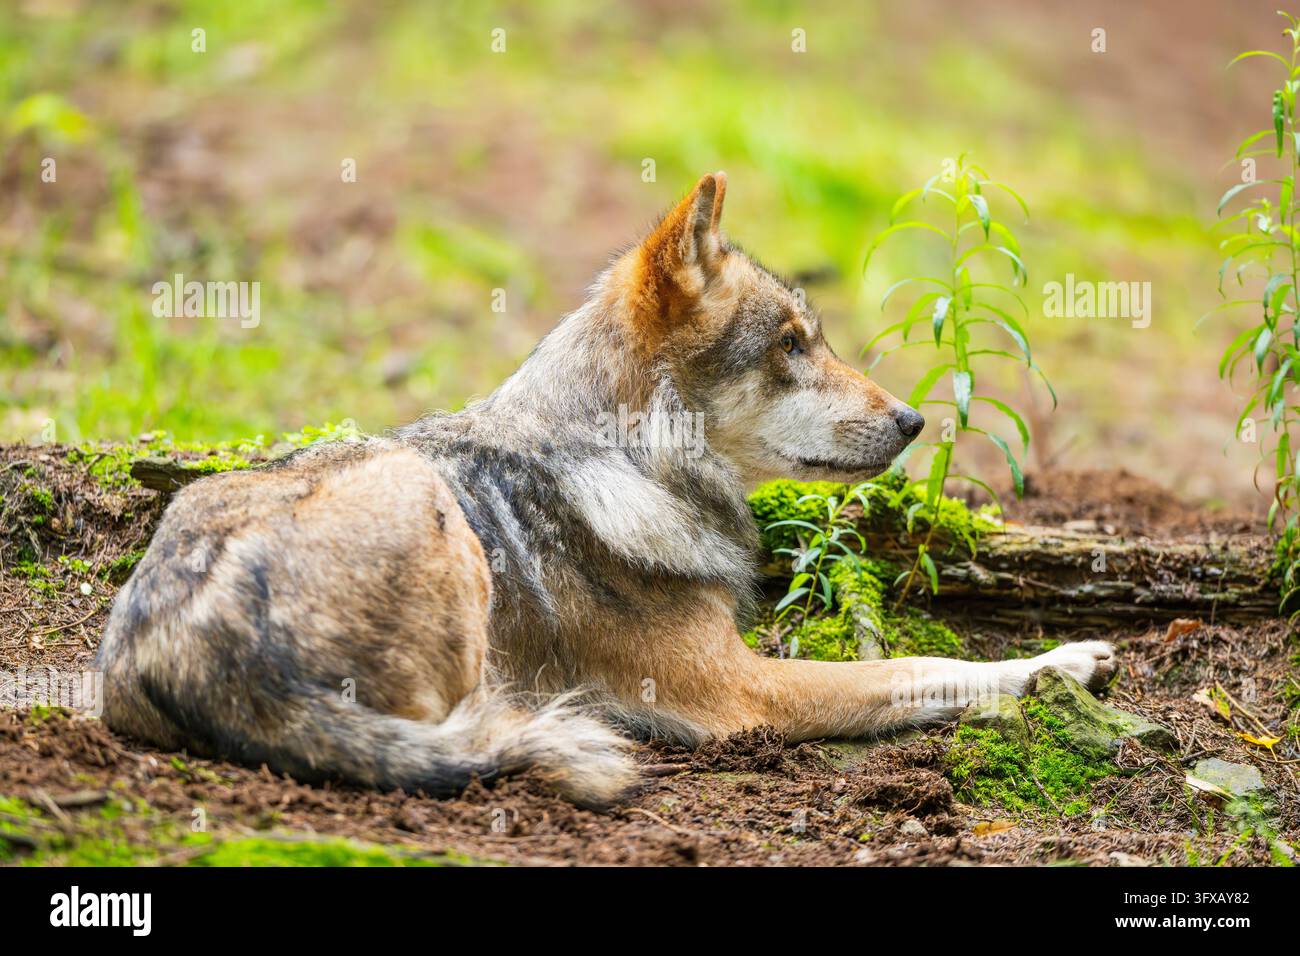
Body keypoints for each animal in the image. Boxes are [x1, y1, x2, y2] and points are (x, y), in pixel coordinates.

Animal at [96, 173, 1116, 806]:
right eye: (791, 346)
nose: (912, 422)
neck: (623, 467)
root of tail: (176, 650)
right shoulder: (741, 694)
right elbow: (922, 666)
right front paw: (1060, 661)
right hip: (420, 503)